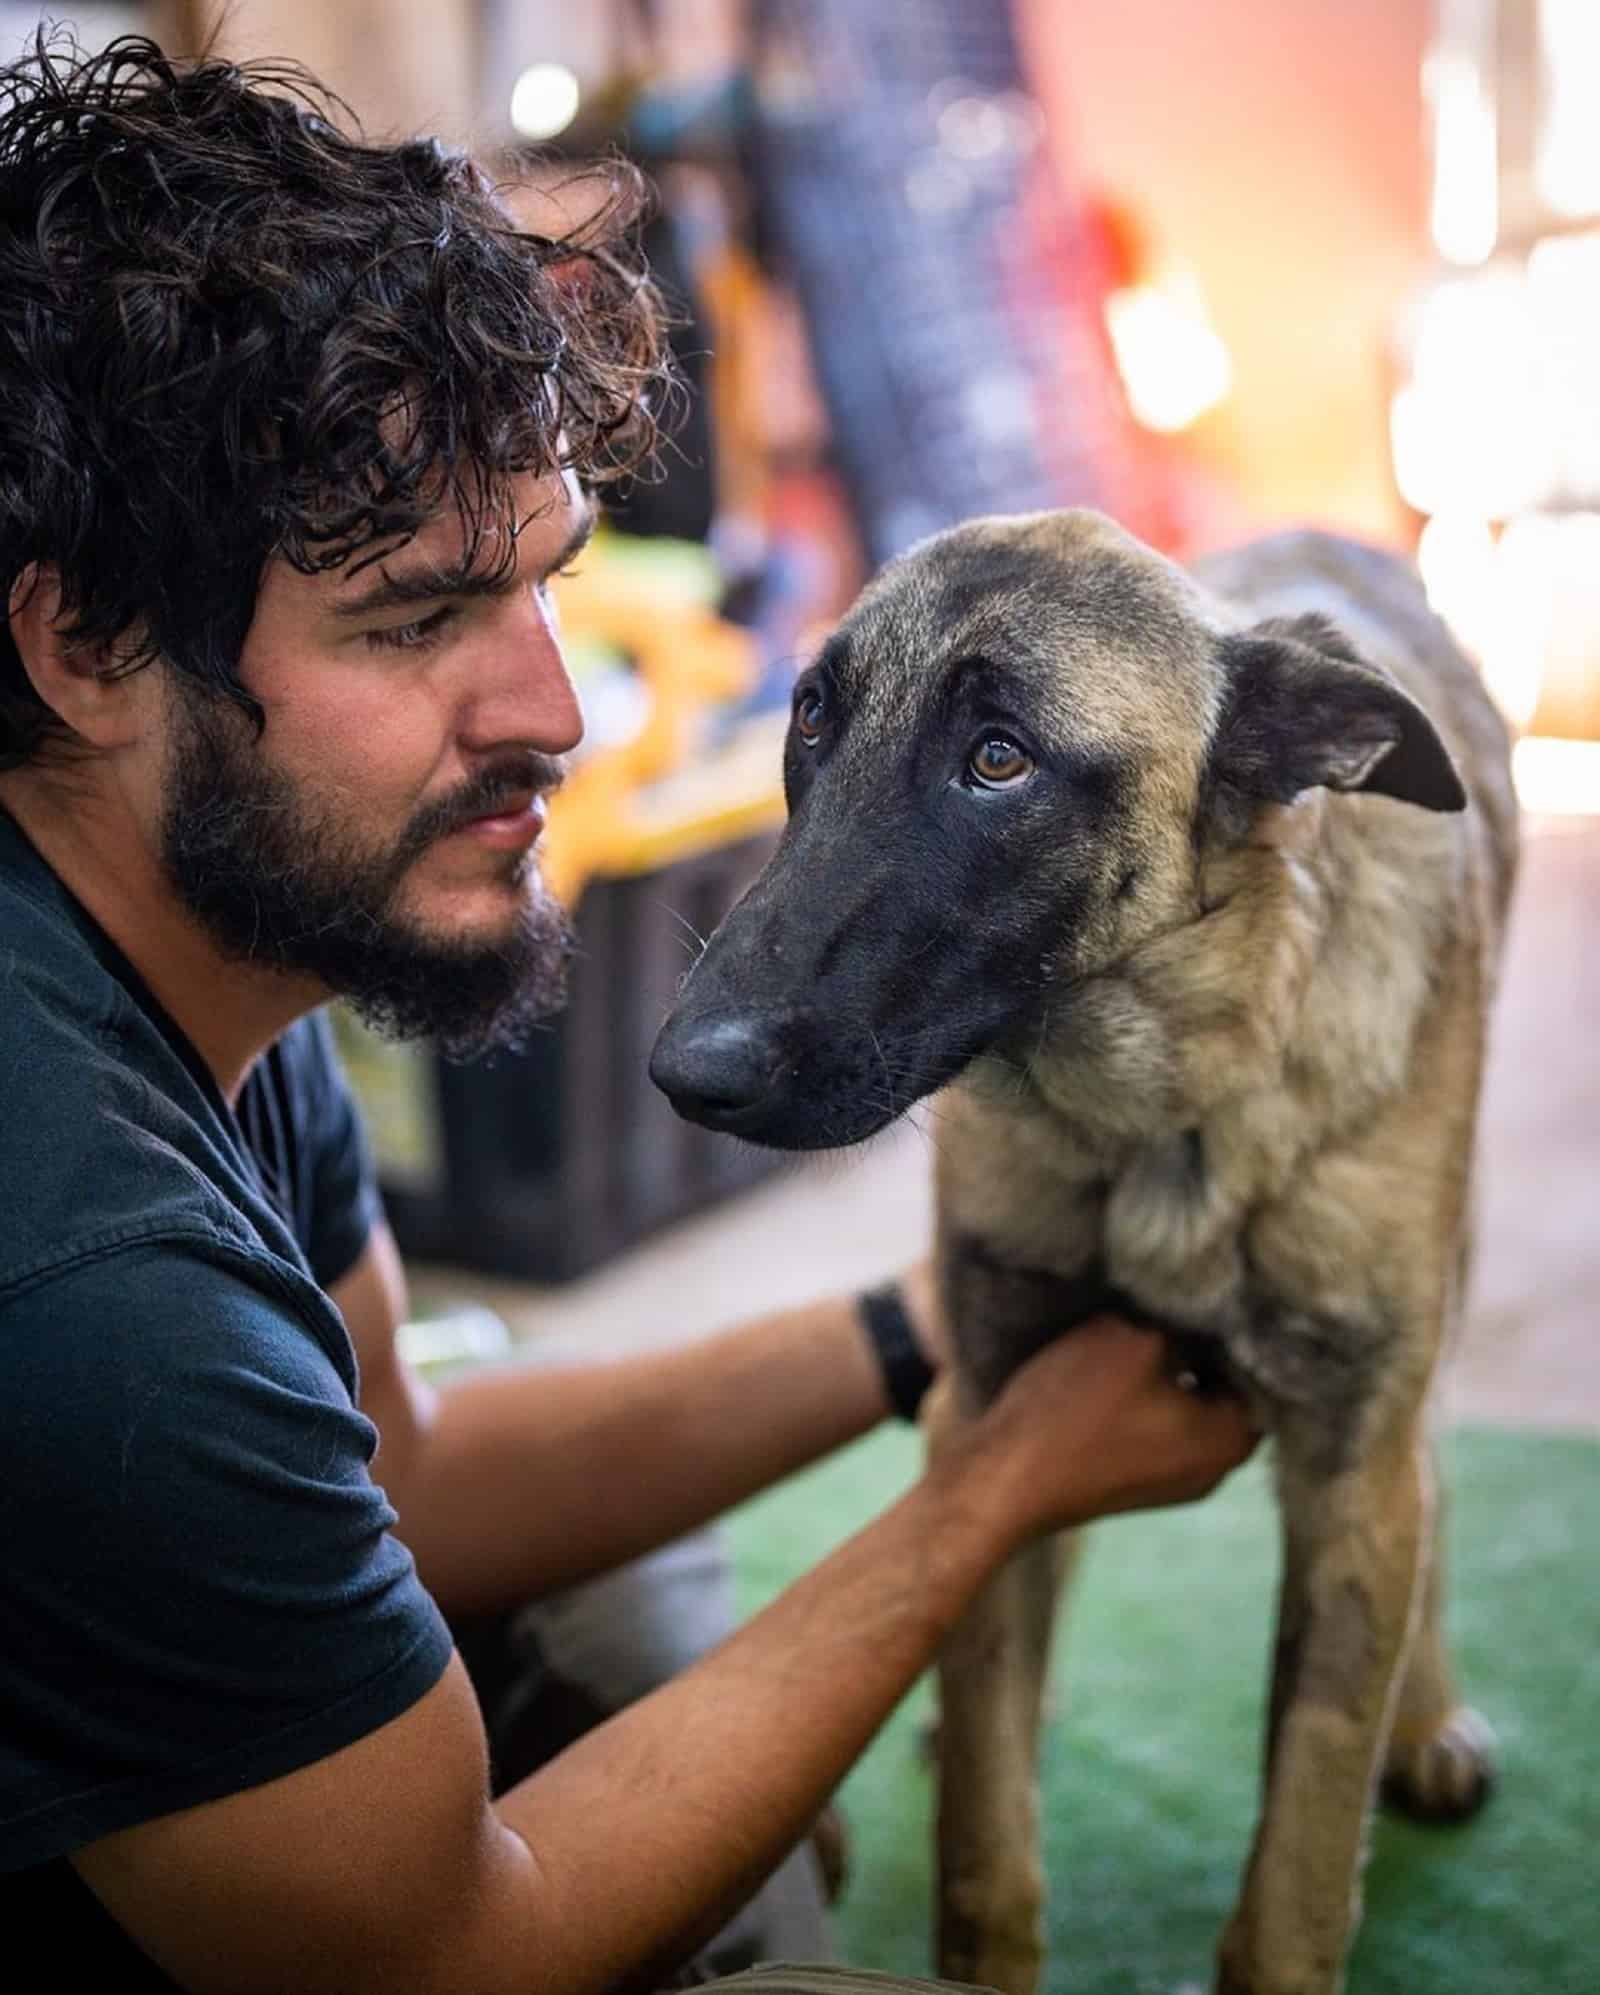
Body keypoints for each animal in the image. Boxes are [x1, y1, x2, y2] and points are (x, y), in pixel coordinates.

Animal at [646, 510, 1508, 1995]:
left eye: (1000, 759)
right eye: (811, 717)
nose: (685, 1072)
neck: (1162, 1116)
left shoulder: (1347, 1462)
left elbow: (1297, 1861)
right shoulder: (993, 1401)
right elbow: (987, 1839)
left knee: (1435, 1483)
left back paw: (1425, 1711)